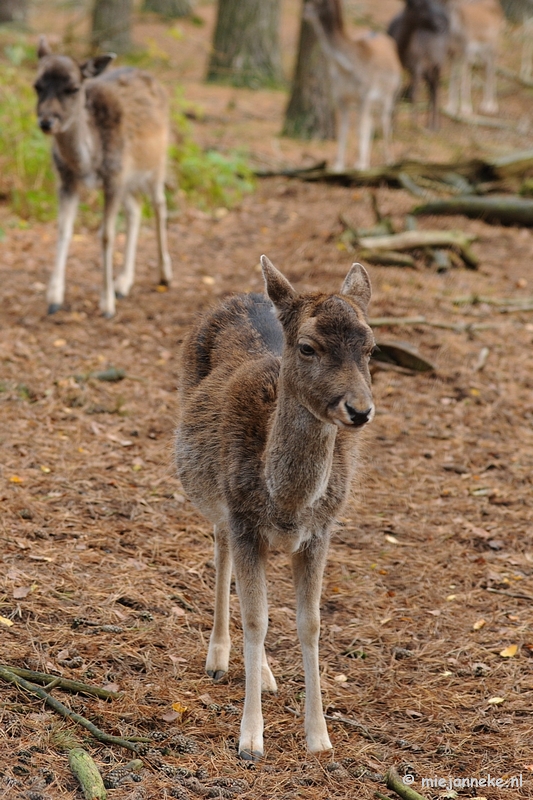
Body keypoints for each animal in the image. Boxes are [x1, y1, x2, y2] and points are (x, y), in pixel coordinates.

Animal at [34, 36, 171, 318]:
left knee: (159, 206)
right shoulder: (67, 180)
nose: (46, 121)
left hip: (156, 162)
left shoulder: (113, 178)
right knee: (136, 210)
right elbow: (63, 230)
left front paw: (107, 304)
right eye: (37, 85)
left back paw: (165, 275)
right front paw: (54, 299)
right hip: (129, 178)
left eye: (73, 88)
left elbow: (106, 235)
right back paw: (124, 282)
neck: (88, 162)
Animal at [175, 258, 374, 764]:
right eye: (307, 346)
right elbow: (256, 620)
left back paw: (264, 674)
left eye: (371, 347)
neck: (287, 503)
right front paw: (250, 739)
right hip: (216, 501)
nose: (360, 409)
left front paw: (319, 737)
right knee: (220, 554)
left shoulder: (322, 532)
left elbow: (310, 623)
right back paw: (218, 658)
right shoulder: (244, 522)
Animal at [304, 0, 400, 172]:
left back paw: (389, 160)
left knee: (385, 123)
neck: (347, 69)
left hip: (390, 93)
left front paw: (360, 165)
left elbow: (360, 130)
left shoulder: (365, 93)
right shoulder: (340, 97)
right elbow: (344, 131)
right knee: (371, 123)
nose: (305, 11)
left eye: (321, 2)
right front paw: (339, 165)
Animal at [386, 0, 448, 130]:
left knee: (436, 88)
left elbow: (414, 94)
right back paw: (430, 124)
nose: (440, 23)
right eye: (414, 3)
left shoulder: (417, 65)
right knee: (431, 87)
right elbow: (396, 92)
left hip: (437, 62)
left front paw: (413, 124)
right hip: (427, 69)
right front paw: (393, 125)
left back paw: (434, 126)